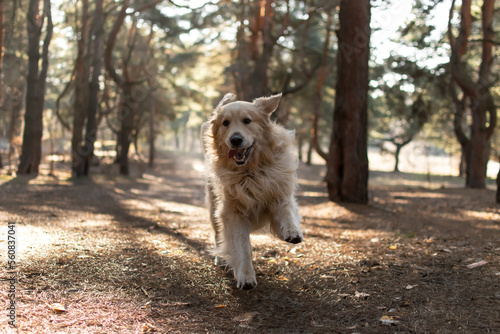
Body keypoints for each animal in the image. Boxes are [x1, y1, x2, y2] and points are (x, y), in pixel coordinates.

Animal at [201, 92, 302, 288]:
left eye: (247, 120)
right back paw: (220, 258)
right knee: (218, 234)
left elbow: (287, 212)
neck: (251, 172)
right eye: (225, 123)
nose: (236, 139)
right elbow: (242, 246)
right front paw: (245, 276)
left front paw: (292, 232)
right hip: (213, 207)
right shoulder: (233, 212)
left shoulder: (279, 193)